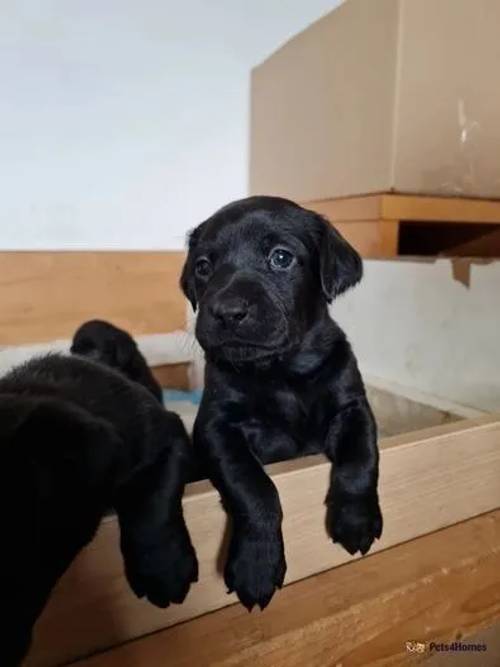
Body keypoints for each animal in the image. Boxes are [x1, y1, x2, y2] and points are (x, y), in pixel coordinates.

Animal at [182, 194, 380, 612]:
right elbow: (254, 486)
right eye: (203, 267)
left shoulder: (352, 408)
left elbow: (360, 458)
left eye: (281, 258)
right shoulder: (216, 427)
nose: (227, 312)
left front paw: (356, 520)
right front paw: (257, 564)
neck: (281, 371)